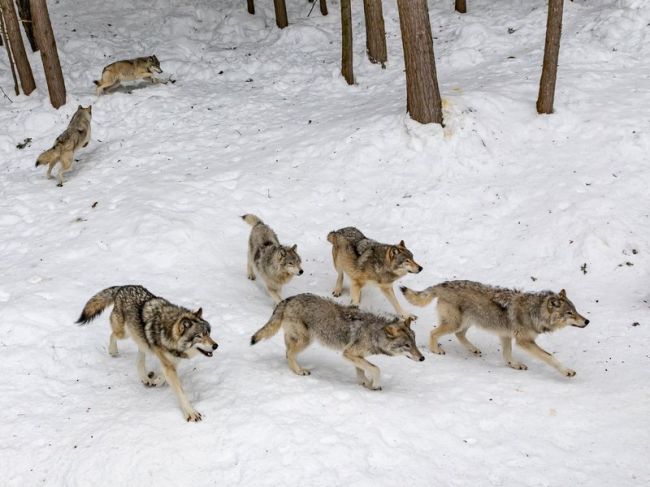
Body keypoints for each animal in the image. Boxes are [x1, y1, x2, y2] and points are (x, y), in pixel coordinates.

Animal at [76, 286, 218, 424]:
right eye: (199, 336)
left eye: (208, 333)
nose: (216, 345)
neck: (167, 332)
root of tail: (122, 287)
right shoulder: (168, 364)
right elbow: (180, 391)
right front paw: (190, 413)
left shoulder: (172, 361)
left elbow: (164, 377)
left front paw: (157, 380)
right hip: (124, 334)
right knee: (113, 335)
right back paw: (113, 351)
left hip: (140, 340)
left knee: (139, 358)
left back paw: (145, 378)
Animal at [249, 292, 426, 390]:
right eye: (407, 346)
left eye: (415, 343)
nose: (423, 358)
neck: (374, 333)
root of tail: (289, 298)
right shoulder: (347, 353)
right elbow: (376, 369)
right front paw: (374, 384)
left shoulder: (357, 356)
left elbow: (362, 370)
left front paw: (366, 384)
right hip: (306, 340)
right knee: (290, 353)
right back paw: (299, 371)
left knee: (287, 352)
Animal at [400, 280, 588, 380]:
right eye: (570, 313)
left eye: (576, 310)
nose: (587, 321)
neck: (534, 312)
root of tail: (442, 284)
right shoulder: (524, 342)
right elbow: (550, 357)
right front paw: (567, 371)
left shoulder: (505, 335)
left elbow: (507, 355)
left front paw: (514, 365)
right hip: (455, 323)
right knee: (433, 333)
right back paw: (436, 350)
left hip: (466, 323)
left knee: (459, 335)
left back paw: (473, 349)